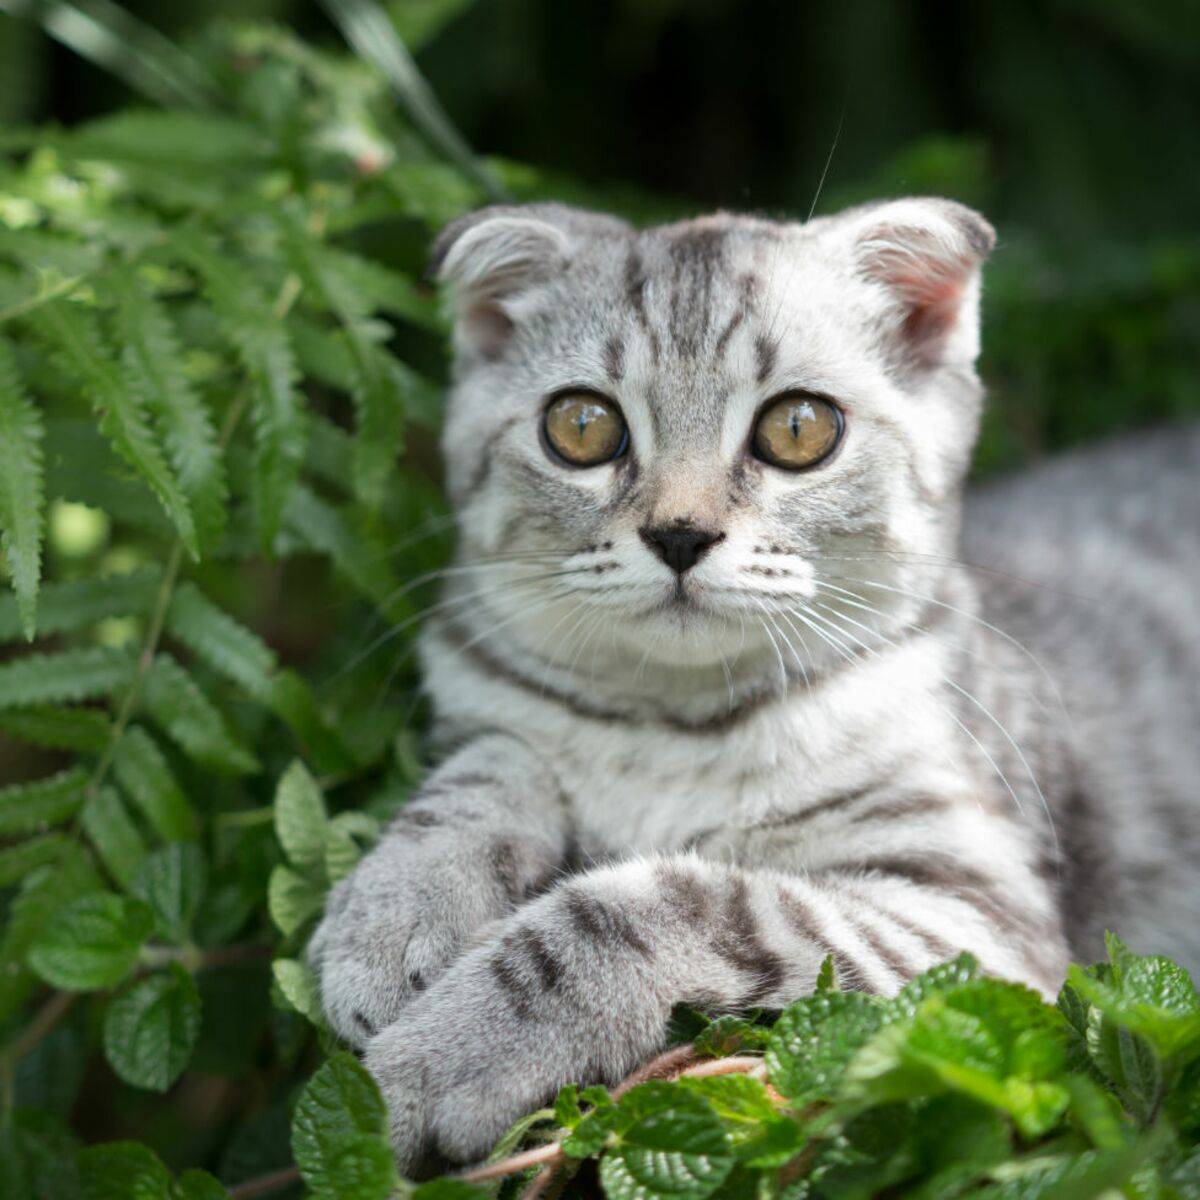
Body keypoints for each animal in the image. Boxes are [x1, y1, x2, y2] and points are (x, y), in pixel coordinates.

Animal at [309, 199, 1200, 1171]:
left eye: (799, 428)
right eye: (580, 426)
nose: (680, 533)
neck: (673, 723)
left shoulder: (981, 935)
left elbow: (648, 909)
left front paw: (434, 1063)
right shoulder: (492, 704)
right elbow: (486, 768)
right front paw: (396, 909)